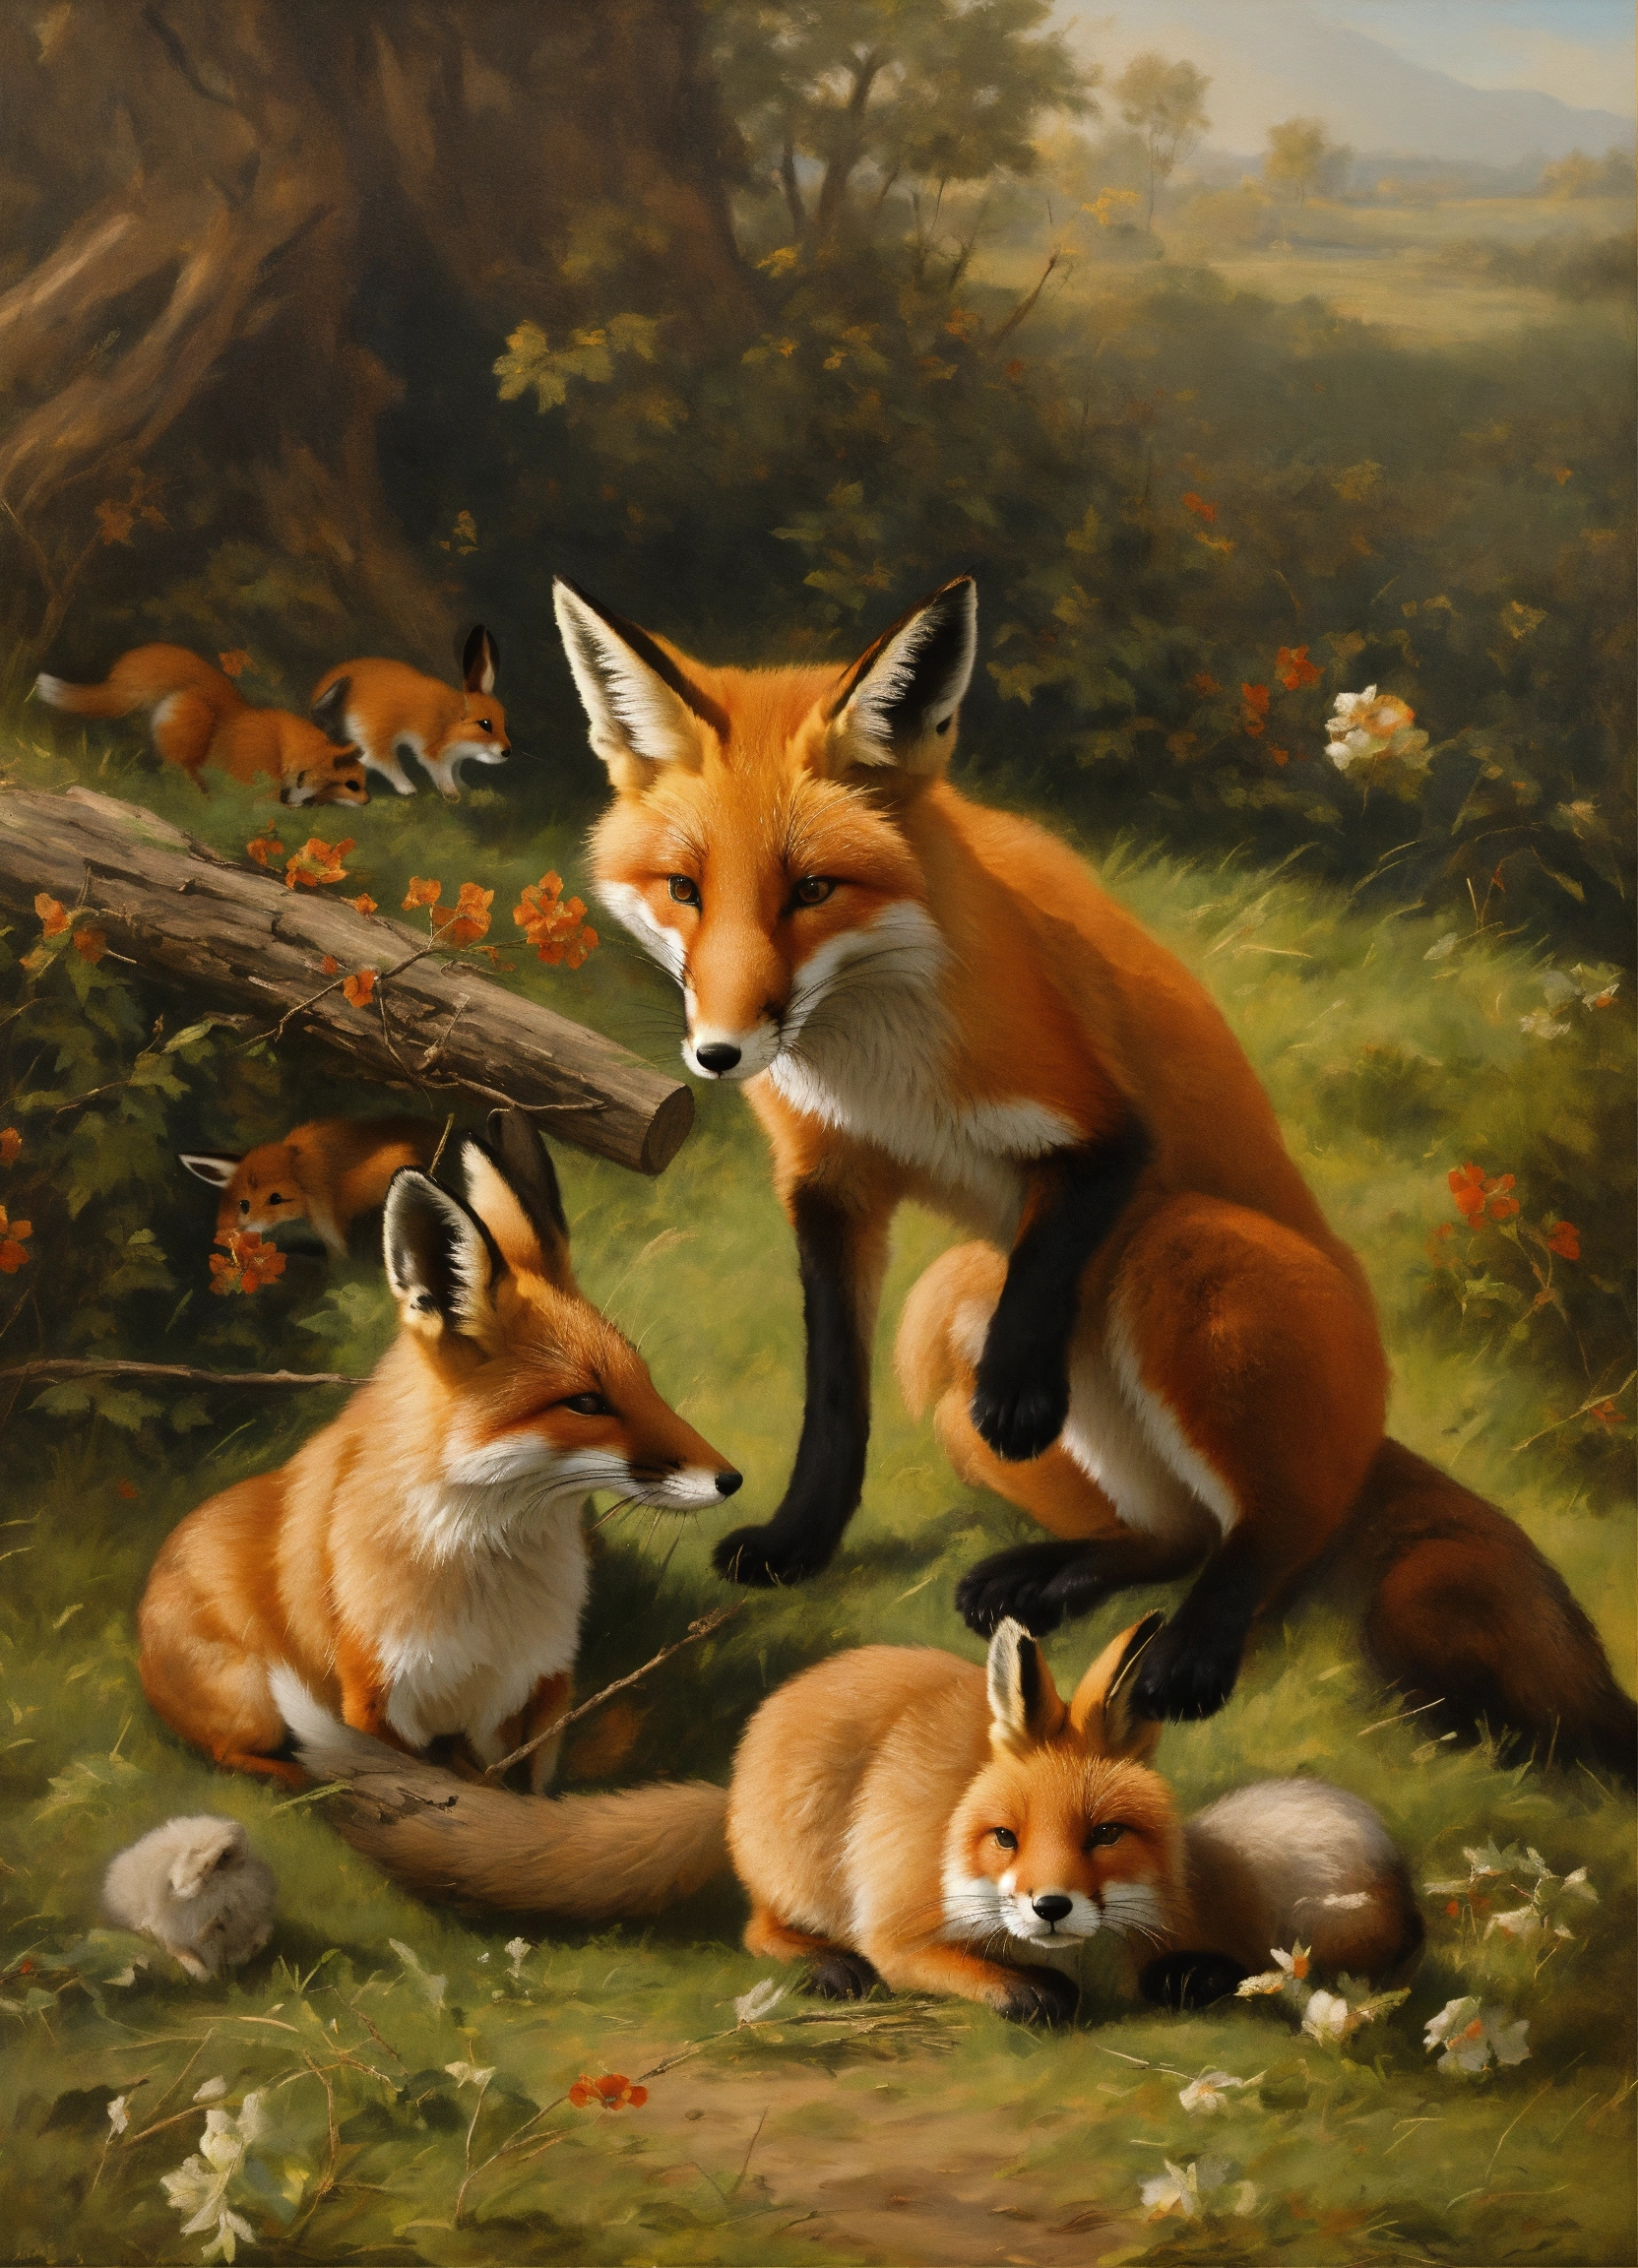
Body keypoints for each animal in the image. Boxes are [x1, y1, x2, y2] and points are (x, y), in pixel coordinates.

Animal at [35, 645, 369, 806]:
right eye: (353, 784)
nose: (368, 801)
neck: (284, 747)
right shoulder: (255, 778)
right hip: (193, 728)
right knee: (180, 774)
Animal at [281, 1611, 1422, 2024]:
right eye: (1004, 1838)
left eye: (1106, 1836)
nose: (1050, 1907)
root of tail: (737, 1770)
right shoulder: (902, 1923)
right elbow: (949, 1970)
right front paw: (1025, 1993)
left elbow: (1196, 1962)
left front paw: (1183, 1976)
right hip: (804, 1868)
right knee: (757, 1930)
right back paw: (821, 1970)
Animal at [310, 624, 508, 801]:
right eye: (485, 724)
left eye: (503, 721)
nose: (507, 752)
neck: (451, 722)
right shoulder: (433, 754)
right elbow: (443, 775)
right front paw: (453, 795)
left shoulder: (456, 758)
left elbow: (456, 771)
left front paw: (464, 788)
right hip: (379, 738)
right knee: (380, 761)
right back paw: (407, 788)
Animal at [548, 572, 1636, 1778]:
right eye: (683, 888)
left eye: (814, 888)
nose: (720, 1054)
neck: (877, 1057)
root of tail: (1369, 1436)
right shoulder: (830, 1180)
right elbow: (833, 1399)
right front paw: (801, 1541)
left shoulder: (1104, 1131)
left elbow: (1049, 1272)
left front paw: (1020, 1395)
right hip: (949, 1316)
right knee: (1172, 1533)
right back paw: (1048, 1577)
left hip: (1186, 1254)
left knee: (1275, 1536)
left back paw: (1195, 1651)